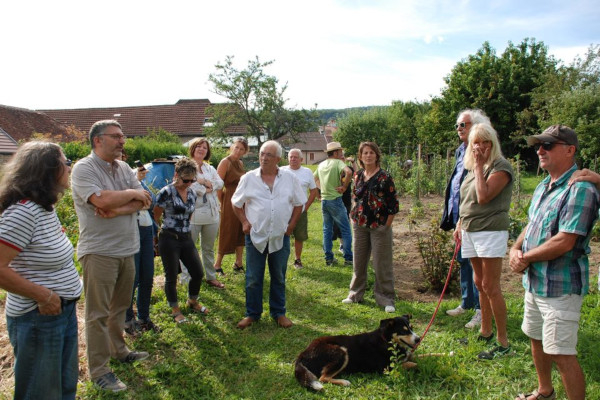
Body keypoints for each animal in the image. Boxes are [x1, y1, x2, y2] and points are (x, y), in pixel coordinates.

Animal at [292, 316, 420, 390]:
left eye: (412, 328)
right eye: (403, 331)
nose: (418, 339)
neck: (386, 340)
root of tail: (303, 354)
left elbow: (412, 357)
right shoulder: (386, 368)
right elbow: (411, 364)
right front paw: (415, 366)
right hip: (341, 351)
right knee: (323, 378)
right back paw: (344, 382)